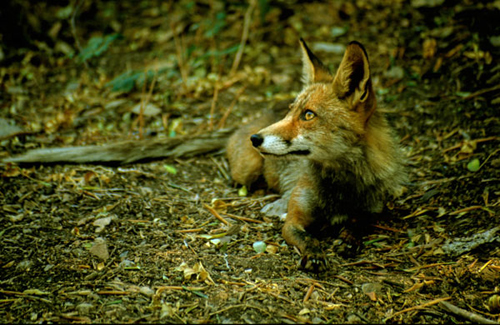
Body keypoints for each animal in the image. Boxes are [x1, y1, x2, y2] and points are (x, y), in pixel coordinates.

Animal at [227, 39, 406, 270]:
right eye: (291, 110)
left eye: (308, 115)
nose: (255, 139)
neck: (340, 187)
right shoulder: (294, 219)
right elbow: (307, 238)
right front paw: (314, 254)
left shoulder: (373, 208)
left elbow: (359, 223)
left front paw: (349, 239)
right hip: (246, 172)